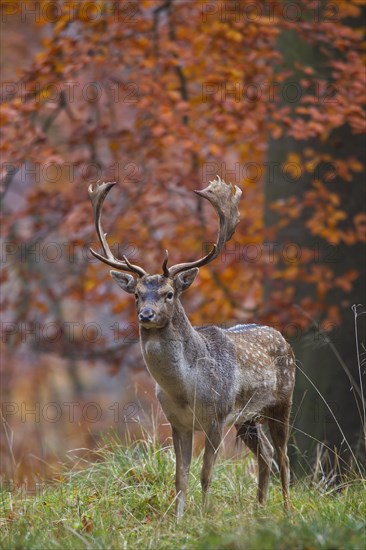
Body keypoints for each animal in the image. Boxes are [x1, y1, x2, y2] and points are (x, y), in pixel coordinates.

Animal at [89, 178, 298, 520]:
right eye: (137, 295)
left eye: (169, 293)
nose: (146, 315)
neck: (185, 390)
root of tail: (282, 337)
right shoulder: (177, 422)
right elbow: (180, 476)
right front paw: (178, 520)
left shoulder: (215, 417)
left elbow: (206, 474)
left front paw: (201, 517)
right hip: (247, 417)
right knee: (265, 454)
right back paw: (259, 509)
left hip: (282, 400)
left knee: (283, 456)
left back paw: (287, 509)